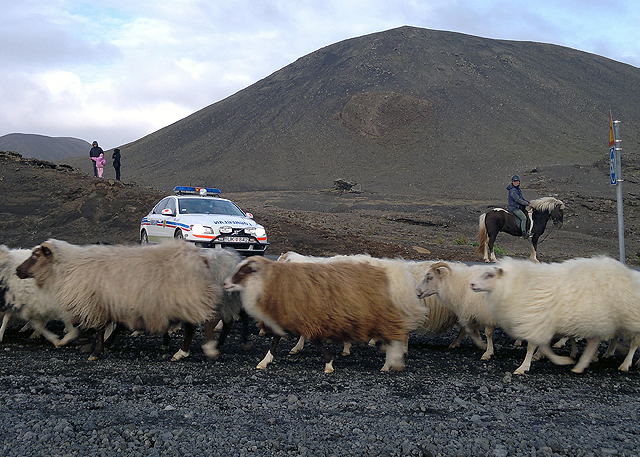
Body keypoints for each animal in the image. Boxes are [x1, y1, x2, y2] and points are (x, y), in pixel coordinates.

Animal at [15, 239, 222, 360]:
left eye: (35, 255)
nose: (17, 270)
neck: (67, 267)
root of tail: (199, 256)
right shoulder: (105, 303)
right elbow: (96, 328)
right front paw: (89, 344)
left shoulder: (93, 303)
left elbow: (97, 329)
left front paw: (94, 351)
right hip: (185, 300)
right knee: (193, 325)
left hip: (189, 296)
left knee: (200, 323)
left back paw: (197, 350)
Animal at [222, 255, 428, 372]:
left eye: (245, 270)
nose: (225, 283)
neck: (272, 281)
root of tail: (396, 273)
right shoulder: (291, 317)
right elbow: (276, 340)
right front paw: (265, 361)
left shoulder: (308, 318)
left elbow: (315, 340)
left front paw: (329, 364)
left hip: (383, 317)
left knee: (395, 338)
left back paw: (389, 363)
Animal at [468, 255, 640, 372]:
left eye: (490, 275)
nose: (472, 284)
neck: (516, 284)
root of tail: (629, 274)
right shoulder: (541, 324)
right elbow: (543, 346)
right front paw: (554, 358)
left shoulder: (536, 322)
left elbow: (532, 347)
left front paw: (524, 366)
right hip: (598, 319)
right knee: (596, 341)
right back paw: (585, 362)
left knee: (632, 344)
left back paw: (625, 364)